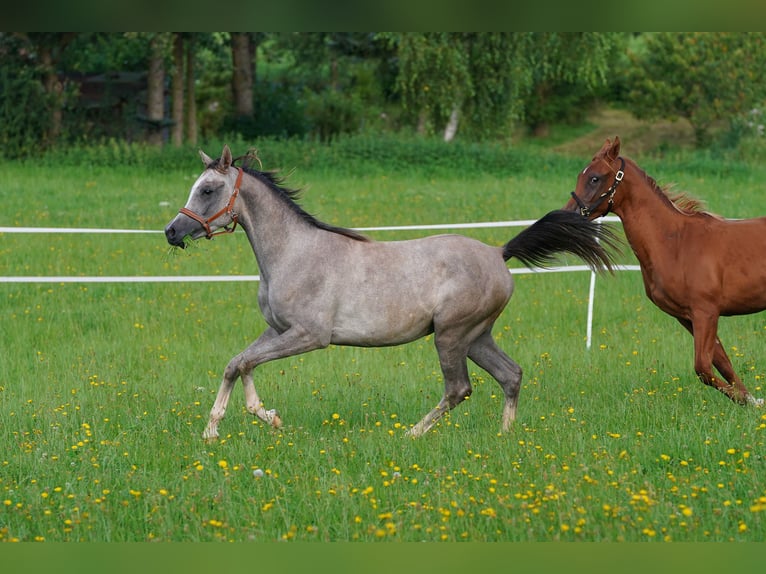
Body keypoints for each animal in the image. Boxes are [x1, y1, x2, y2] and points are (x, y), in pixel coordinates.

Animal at [166, 145, 616, 440]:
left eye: (207, 190)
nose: (172, 231)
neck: (293, 252)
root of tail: (498, 253)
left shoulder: (309, 336)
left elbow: (245, 363)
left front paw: (261, 417)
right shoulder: (277, 330)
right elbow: (236, 363)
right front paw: (221, 428)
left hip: (451, 336)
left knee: (459, 389)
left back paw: (411, 435)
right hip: (475, 337)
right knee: (511, 374)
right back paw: (505, 436)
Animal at [568, 138, 764, 410]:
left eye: (595, 178)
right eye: (581, 175)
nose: (569, 215)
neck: (675, 243)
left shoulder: (706, 312)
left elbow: (703, 367)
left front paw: (749, 401)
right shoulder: (685, 316)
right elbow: (722, 361)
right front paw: (753, 401)